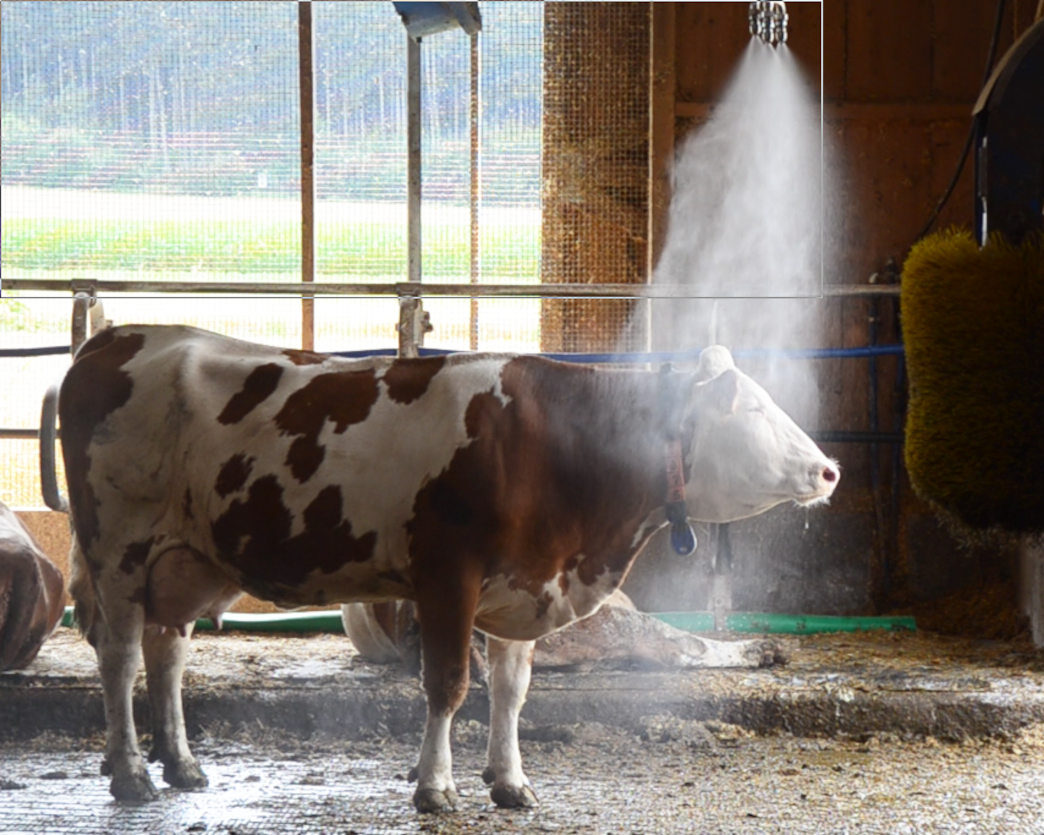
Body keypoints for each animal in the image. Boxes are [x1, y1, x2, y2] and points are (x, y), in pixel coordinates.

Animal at [43, 324, 838, 812]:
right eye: (755, 411)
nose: (830, 469)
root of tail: (118, 337)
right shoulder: (447, 573)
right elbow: (450, 685)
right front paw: (435, 787)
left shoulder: (527, 582)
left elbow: (512, 692)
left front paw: (510, 781)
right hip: (118, 549)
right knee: (120, 657)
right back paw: (131, 771)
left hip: (187, 560)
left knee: (167, 654)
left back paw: (181, 764)